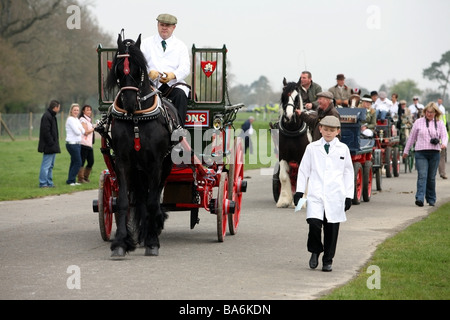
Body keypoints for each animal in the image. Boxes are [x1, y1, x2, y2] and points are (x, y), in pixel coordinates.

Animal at [106, 32, 175, 258]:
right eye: (119, 69)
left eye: (139, 69)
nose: (128, 102)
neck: (137, 118)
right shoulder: (123, 162)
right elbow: (124, 202)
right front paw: (120, 242)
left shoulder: (155, 163)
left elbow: (153, 202)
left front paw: (153, 242)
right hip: (138, 170)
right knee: (142, 198)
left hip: (165, 166)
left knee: (153, 196)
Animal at [276, 77, 312, 208]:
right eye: (283, 95)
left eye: (297, 97)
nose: (289, 116)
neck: (292, 130)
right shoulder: (283, 156)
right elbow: (283, 176)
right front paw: (284, 200)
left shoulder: (303, 156)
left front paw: (302, 200)